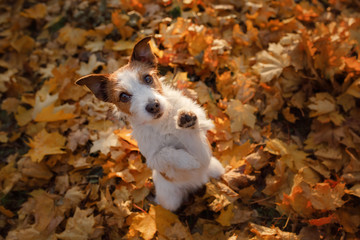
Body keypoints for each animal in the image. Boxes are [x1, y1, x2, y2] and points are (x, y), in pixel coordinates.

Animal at [76, 36, 224, 211]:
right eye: (123, 96)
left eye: (148, 78)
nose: (153, 106)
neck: (162, 122)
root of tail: (199, 182)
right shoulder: (153, 157)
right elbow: (164, 152)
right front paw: (188, 161)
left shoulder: (204, 153)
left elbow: (194, 142)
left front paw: (186, 120)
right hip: (170, 200)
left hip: (216, 168)